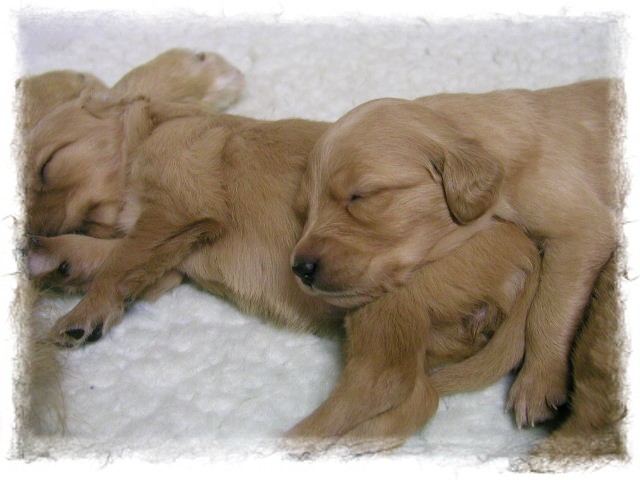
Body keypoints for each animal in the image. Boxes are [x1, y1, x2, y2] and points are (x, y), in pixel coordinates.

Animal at [292, 79, 622, 428]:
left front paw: (537, 384)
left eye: (361, 196)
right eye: (303, 211)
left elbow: (549, 309)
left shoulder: (580, 230)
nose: (300, 267)